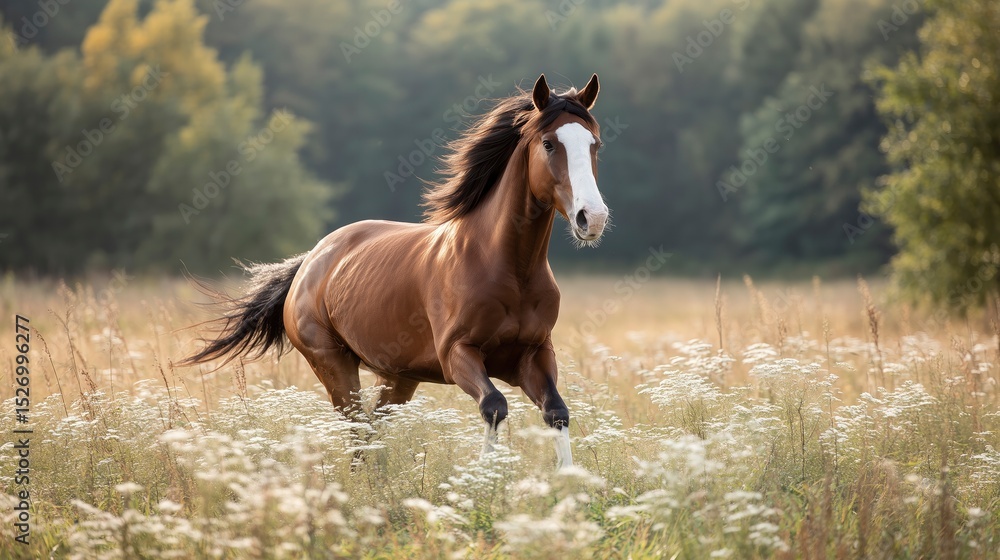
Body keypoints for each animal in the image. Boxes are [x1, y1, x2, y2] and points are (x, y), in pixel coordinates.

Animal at [180, 74, 609, 467]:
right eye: (549, 143)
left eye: (594, 144)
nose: (593, 218)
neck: (507, 267)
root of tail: (311, 261)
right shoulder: (459, 354)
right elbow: (494, 405)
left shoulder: (534, 355)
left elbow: (556, 411)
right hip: (333, 365)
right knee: (357, 428)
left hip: (400, 377)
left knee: (372, 428)